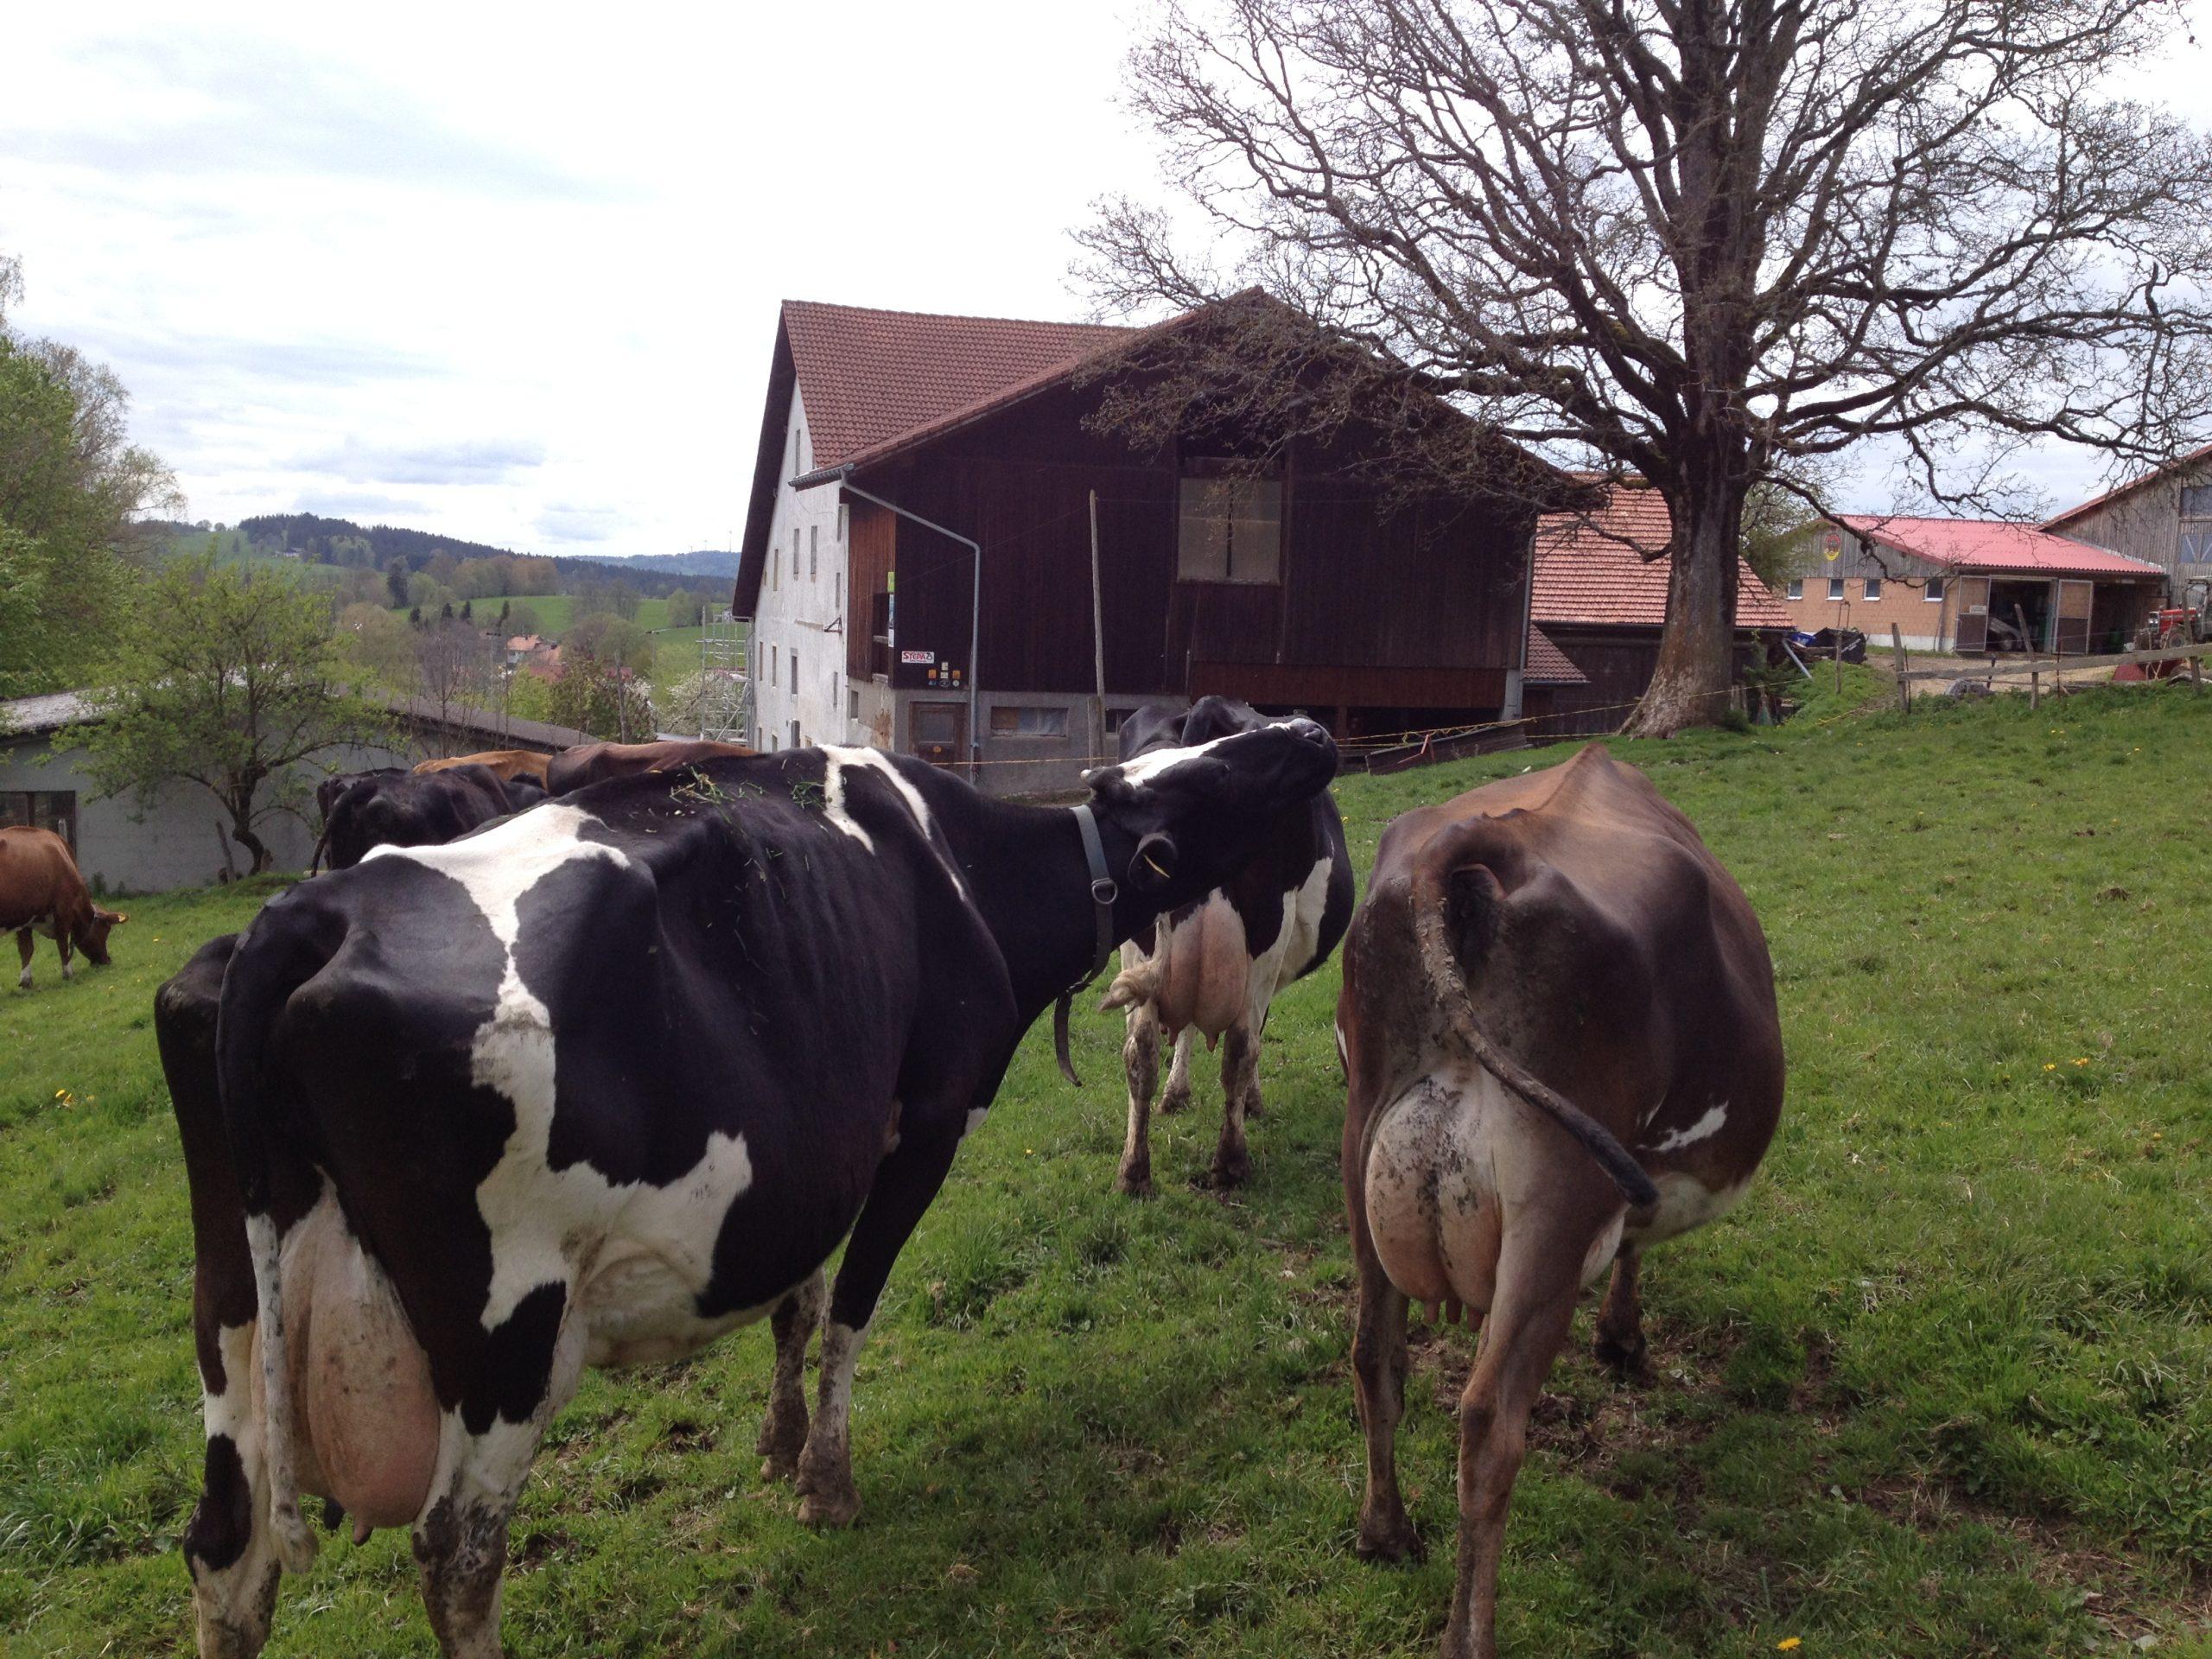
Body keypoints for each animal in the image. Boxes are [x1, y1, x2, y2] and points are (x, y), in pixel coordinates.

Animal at [1, 826, 127, 989]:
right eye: (107, 929)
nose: (107, 960)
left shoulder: (25, 916)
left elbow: (26, 948)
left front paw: (26, 981)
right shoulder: (63, 909)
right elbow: (62, 942)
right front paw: (68, 973)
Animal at [1096, 697, 1354, 1193]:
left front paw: (1179, 1093)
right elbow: (1246, 1043)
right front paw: (1247, 1104)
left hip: (1140, 940)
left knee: (1140, 1052)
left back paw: (1133, 1172)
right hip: (1267, 930)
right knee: (1238, 1048)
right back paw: (1230, 1162)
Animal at [1338, 745, 1783, 1659]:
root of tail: (1477, 847)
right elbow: (1636, 1248)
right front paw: (1621, 1338)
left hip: (1365, 1146)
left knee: (1375, 1357)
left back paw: (1385, 1531)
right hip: (1561, 1193)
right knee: (1489, 1421)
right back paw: (1468, 1636)